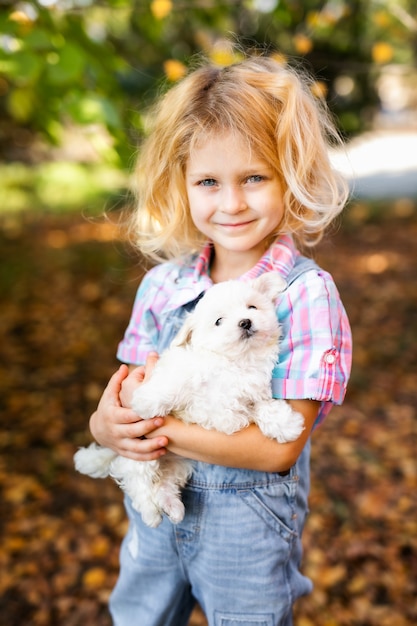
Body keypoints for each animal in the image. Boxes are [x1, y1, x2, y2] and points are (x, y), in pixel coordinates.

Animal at [74, 272, 302, 528]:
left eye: (252, 307)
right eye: (219, 321)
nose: (245, 322)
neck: (236, 362)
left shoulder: (250, 396)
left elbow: (264, 408)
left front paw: (286, 424)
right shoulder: (186, 371)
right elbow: (172, 386)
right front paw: (146, 400)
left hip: (176, 460)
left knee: (163, 481)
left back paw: (171, 506)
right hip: (140, 450)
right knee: (136, 476)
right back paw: (150, 511)